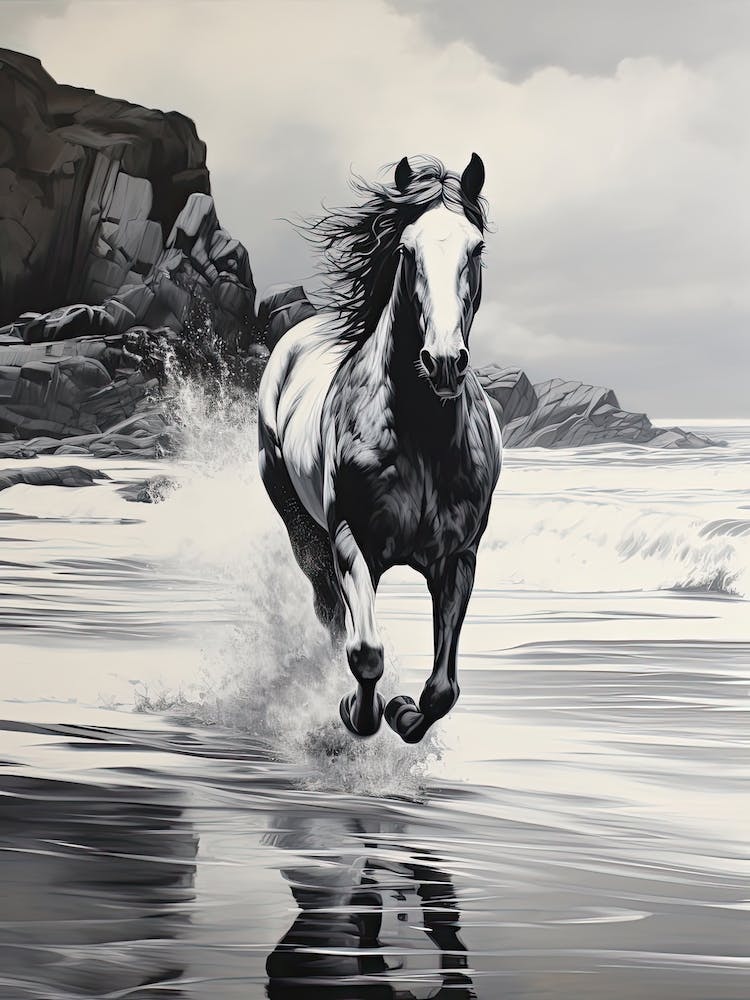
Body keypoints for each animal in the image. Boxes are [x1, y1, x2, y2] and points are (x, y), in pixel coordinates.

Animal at [258, 153, 502, 744]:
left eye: (476, 249)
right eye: (407, 250)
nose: (443, 361)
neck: (423, 438)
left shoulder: (458, 558)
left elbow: (443, 690)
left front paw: (404, 712)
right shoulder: (353, 541)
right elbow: (366, 651)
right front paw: (359, 711)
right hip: (300, 526)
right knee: (329, 612)